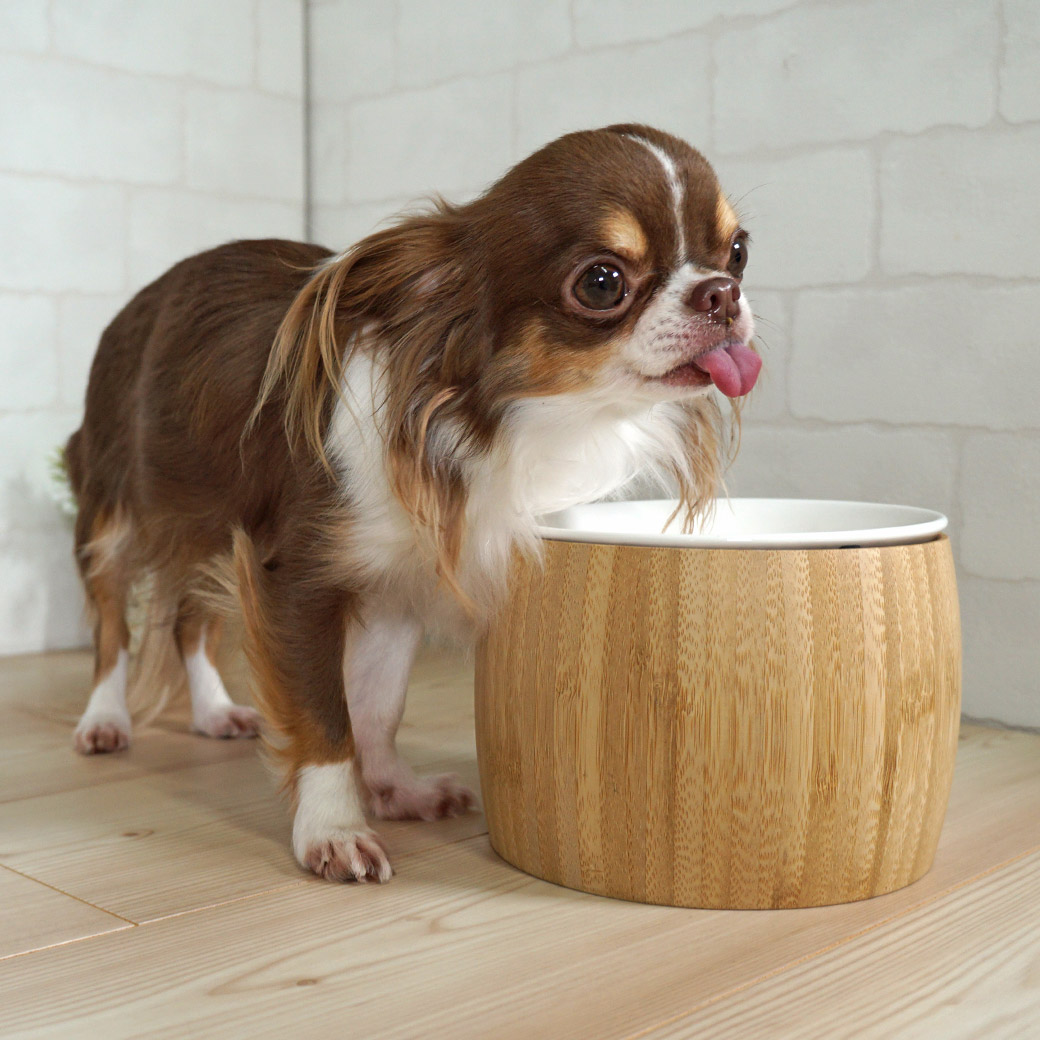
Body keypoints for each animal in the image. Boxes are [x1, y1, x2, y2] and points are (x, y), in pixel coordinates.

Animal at [65, 124, 759, 883]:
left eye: (738, 251)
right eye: (602, 282)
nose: (722, 293)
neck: (510, 424)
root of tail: (141, 300)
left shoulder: (398, 585)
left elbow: (376, 707)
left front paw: (392, 788)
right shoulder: (297, 578)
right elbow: (326, 715)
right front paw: (334, 827)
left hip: (208, 529)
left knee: (191, 622)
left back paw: (214, 710)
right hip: (114, 512)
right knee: (111, 623)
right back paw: (104, 719)